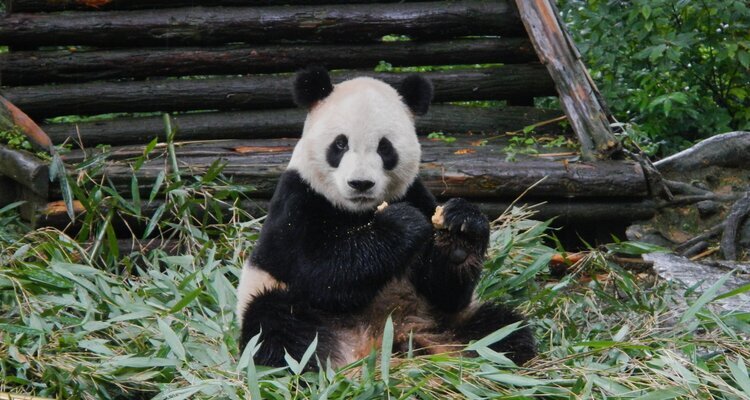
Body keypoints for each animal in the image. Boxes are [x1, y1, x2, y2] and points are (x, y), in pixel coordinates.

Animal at [236, 66, 535, 369]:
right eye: (340, 144)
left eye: (385, 147)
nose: (360, 183)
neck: (358, 211)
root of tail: (380, 339)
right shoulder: (297, 200)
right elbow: (317, 272)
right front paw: (401, 225)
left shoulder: (414, 192)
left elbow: (445, 291)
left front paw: (460, 232)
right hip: (279, 301)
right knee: (277, 324)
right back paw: (322, 359)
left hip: (445, 319)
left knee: (502, 328)